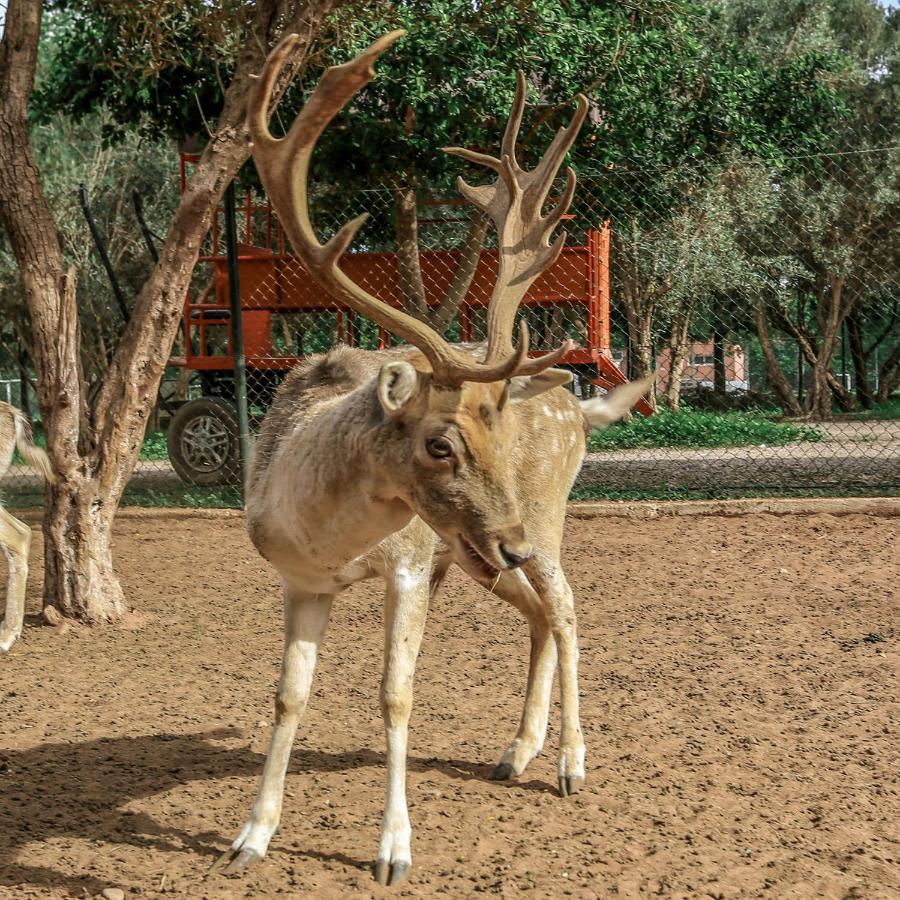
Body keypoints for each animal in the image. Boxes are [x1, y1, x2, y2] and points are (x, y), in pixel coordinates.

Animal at [213, 31, 652, 886]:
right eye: (440, 443)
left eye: (497, 435)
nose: (512, 542)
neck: (328, 535)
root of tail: (577, 403)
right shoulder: (299, 579)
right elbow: (287, 695)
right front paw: (251, 836)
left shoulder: (412, 564)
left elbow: (396, 695)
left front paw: (393, 850)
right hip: (478, 555)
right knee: (538, 611)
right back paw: (517, 752)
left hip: (541, 516)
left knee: (566, 606)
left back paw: (571, 764)